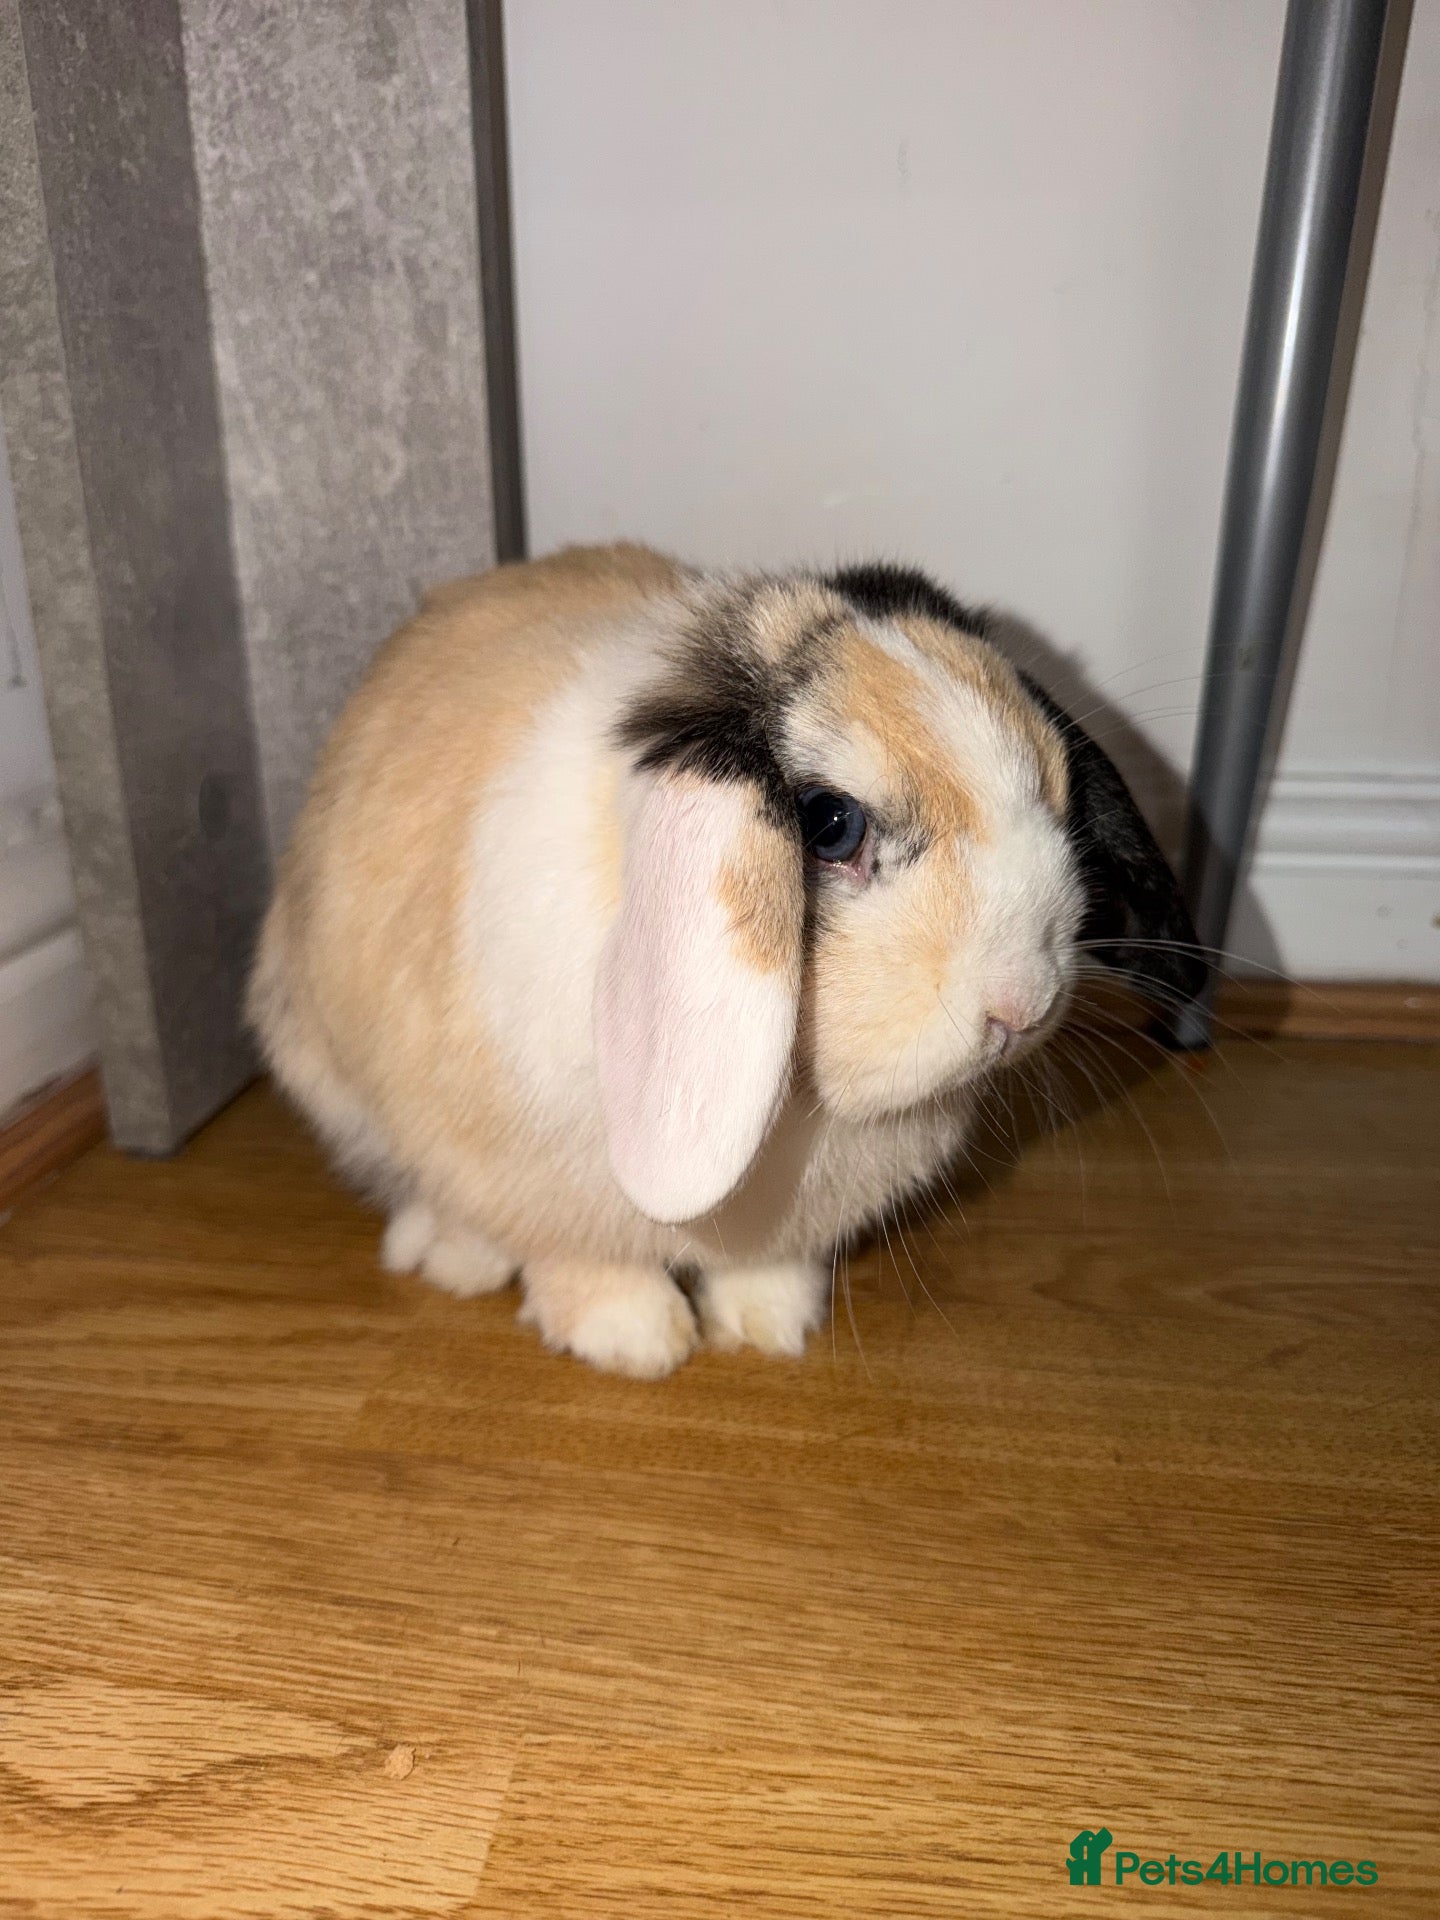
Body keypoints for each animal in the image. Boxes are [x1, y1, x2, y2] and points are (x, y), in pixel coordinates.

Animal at [249, 542, 1204, 1378]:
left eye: (1057, 794)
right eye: (829, 825)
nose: (1022, 1008)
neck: (799, 1104)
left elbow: (764, 1268)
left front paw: (771, 1326)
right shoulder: (537, 1190)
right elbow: (582, 1263)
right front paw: (637, 1344)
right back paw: (451, 1259)